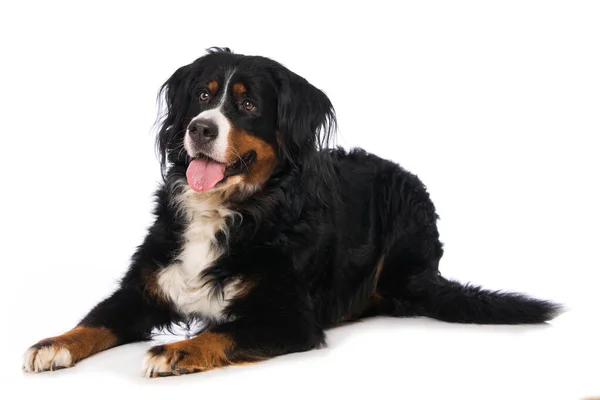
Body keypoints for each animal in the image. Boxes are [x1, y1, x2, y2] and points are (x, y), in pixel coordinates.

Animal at [19, 47, 564, 378]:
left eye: (247, 106)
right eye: (201, 95)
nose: (200, 128)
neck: (233, 212)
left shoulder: (289, 318)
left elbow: (222, 332)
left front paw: (175, 350)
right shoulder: (144, 288)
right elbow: (96, 320)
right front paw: (53, 342)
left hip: (404, 212)